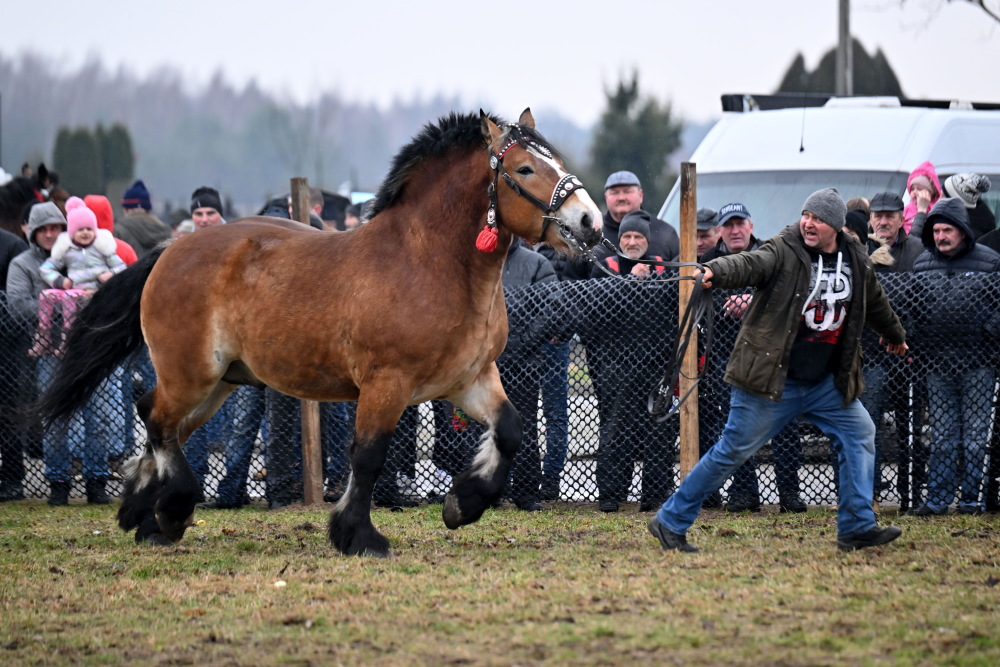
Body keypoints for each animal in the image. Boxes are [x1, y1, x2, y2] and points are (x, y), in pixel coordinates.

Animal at [35, 109, 603, 557]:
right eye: (525, 168)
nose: (591, 222)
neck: (429, 265)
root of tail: (170, 251)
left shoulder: (469, 379)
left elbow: (509, 431)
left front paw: (462, 505)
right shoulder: (387, 384)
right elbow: (368, 457)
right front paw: (359, 536)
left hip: (219, 382)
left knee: (166, 424)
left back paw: (144, 514)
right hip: (190, 373)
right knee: (156, 418)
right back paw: (170, 510)